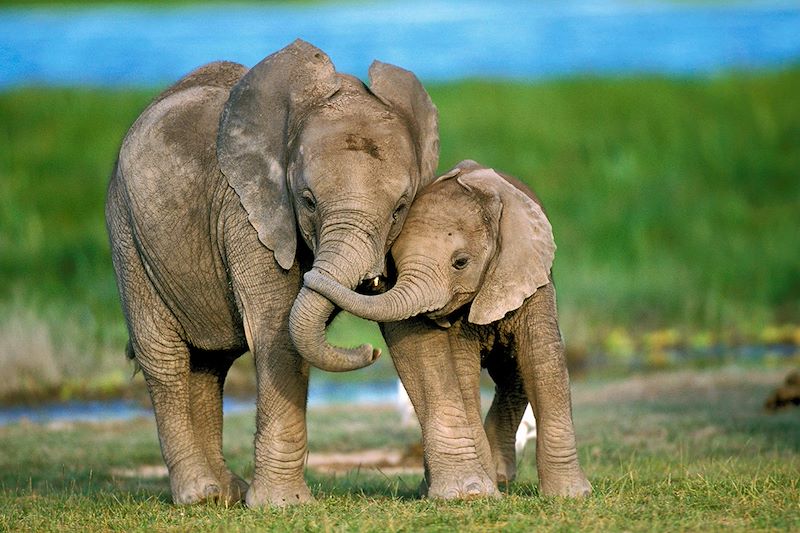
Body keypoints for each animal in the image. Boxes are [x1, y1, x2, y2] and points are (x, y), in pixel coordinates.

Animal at [104, 39, 440, 504]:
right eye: (308, 201)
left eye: (400, 208)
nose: (368, 352)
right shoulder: (247, 213)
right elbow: (277, 328)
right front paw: (283, 505)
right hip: (127, 232)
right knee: (164, 358)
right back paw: (200, 495)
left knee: (209, 365)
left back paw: (225, 493)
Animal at [304, 160, 592, 496]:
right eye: (395, 262)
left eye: (461, 262)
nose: (371, 351)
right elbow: (462, 371)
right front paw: (479, 491)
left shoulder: (530, 277)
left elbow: (542, 360)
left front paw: (572, 495)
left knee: (514, 374)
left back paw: (499, 477)